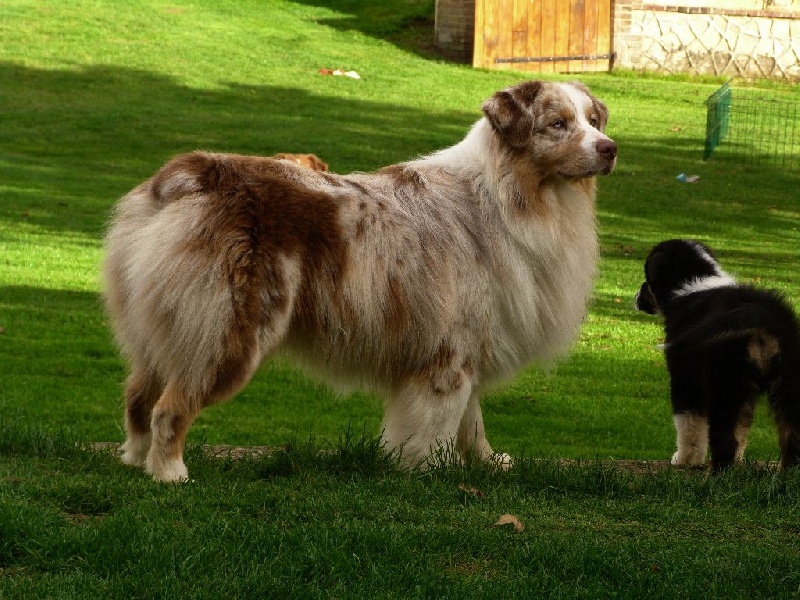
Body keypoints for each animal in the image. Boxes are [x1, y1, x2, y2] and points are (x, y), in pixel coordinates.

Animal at [636, 241, 800, 472]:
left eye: (647, 278)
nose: (636, 297)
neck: (691, 286)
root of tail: (762, 315)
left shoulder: (684, 379)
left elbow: (689, 425)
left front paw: (685, 460)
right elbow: (742, 426)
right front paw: (737, 460)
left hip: (725, 381)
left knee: (724, 435)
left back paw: (717, 474)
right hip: (788, 382)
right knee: (792, 432)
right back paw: (788, 472)